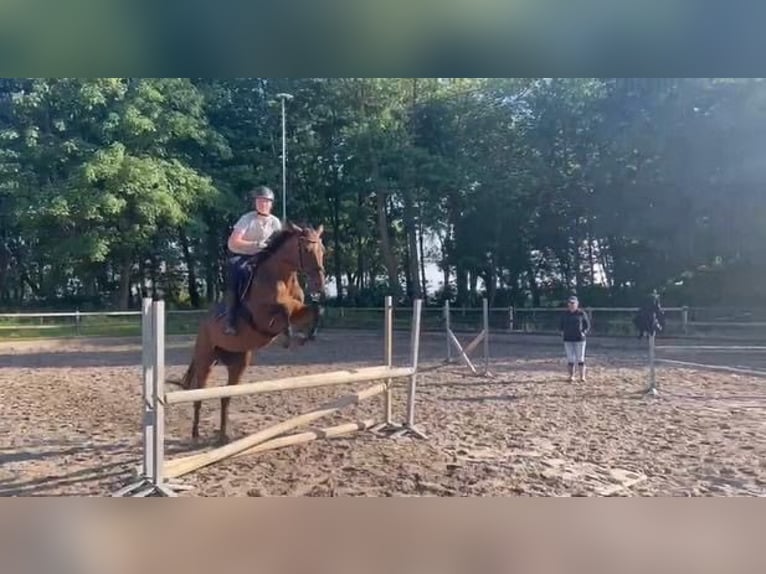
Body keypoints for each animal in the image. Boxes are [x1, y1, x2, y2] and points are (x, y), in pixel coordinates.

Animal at [171, 223, 328, 444]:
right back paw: (195, 435)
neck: (281, 276)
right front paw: (288, 337)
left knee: (225, 397)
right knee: (198, 393)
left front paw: (308, 336)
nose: (319, 285)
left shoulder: (299, 310)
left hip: (238, 364)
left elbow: (315, 309)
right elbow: (283, 310)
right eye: (306, 250)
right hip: (205, 360)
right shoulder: (262, 315)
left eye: (323, 251)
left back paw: (223, 436)